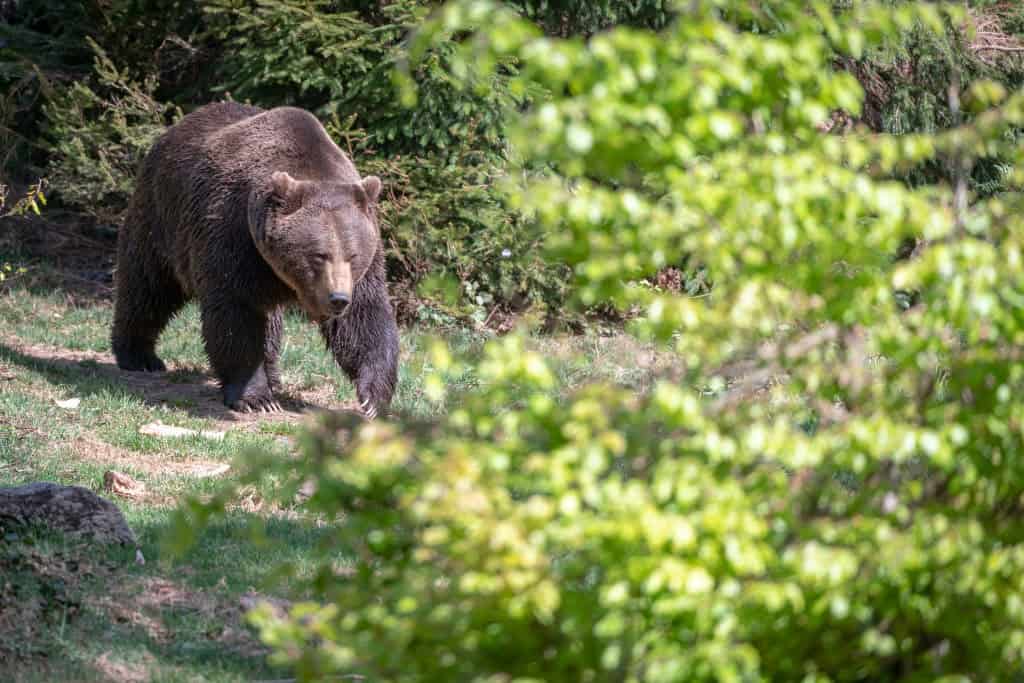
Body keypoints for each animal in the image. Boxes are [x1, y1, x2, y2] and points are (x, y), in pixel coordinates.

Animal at [112, 102, 397, 417]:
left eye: (353, 254)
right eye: (318, 255)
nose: (337, 299)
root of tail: (172, 130)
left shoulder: (365, 266)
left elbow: (364, 319)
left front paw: (373, 399)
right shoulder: (233, 235)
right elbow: (236, 314)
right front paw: (255, 398)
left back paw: (274, 376)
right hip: (161, 218)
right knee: (147, 286)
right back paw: (139, 356)